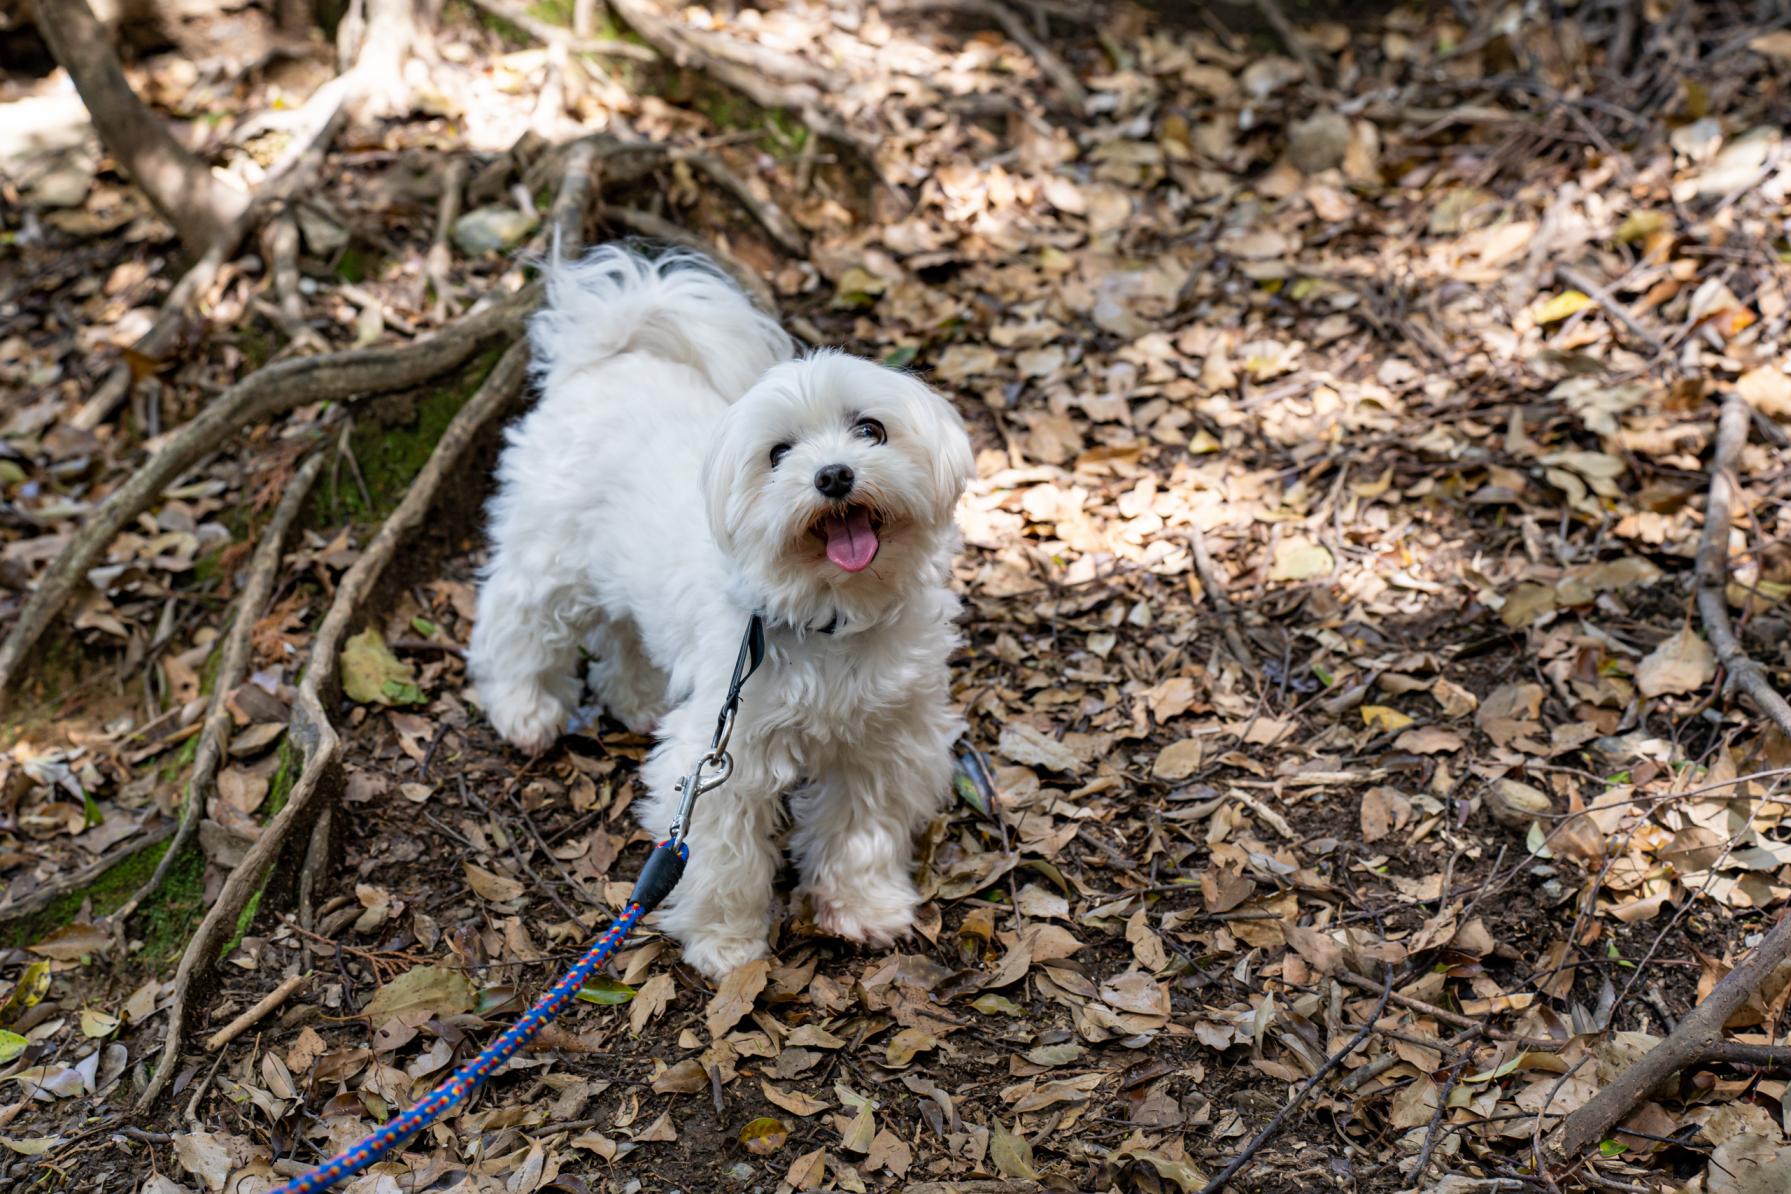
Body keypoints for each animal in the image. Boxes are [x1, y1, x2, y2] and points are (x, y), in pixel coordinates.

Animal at [469, 245, 974, 980]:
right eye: (779, 454)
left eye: (870, 429)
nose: (833, 475)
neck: (830, 616)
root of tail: (612, 352)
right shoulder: (720, 762)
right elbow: (724, 859)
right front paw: (725, 945)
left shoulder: (885, 745)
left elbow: (862, 832)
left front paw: (863, 908)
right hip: (550, 556)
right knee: (516, 619)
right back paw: (525, 709)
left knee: (623, 630)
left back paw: (637, 698)